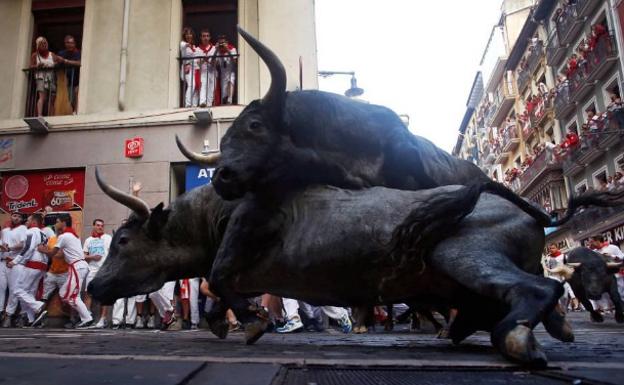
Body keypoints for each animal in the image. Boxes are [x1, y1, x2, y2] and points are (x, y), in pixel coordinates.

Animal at [89, 171, 624, 366]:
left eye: (122, 240)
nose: (94, 286)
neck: (213, 214)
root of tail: (533, 212)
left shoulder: (237, 256)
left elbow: (220, 280)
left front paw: (252, 323)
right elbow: (219, 289)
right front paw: (227, 321)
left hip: (464, 256)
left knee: (536, 290)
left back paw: (519, 338)